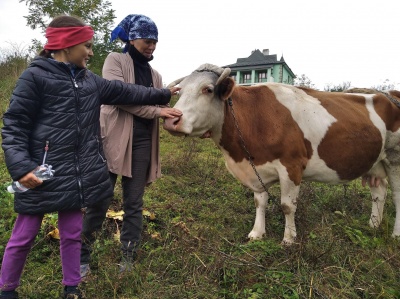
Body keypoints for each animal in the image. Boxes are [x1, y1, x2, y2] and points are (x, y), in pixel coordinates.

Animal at [162, 63, 400, 246]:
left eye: (208, 89)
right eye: (180, 91)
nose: (172, 119)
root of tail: (389, 94)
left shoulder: (291, 166)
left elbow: (287, 206)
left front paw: (288, 239)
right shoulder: (256, 166)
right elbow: (260, 201)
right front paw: (257, 233)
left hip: (395, 159)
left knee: (397, 196)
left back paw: (396, 235)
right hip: (376, 162)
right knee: (379, 192)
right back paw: (373, 224)